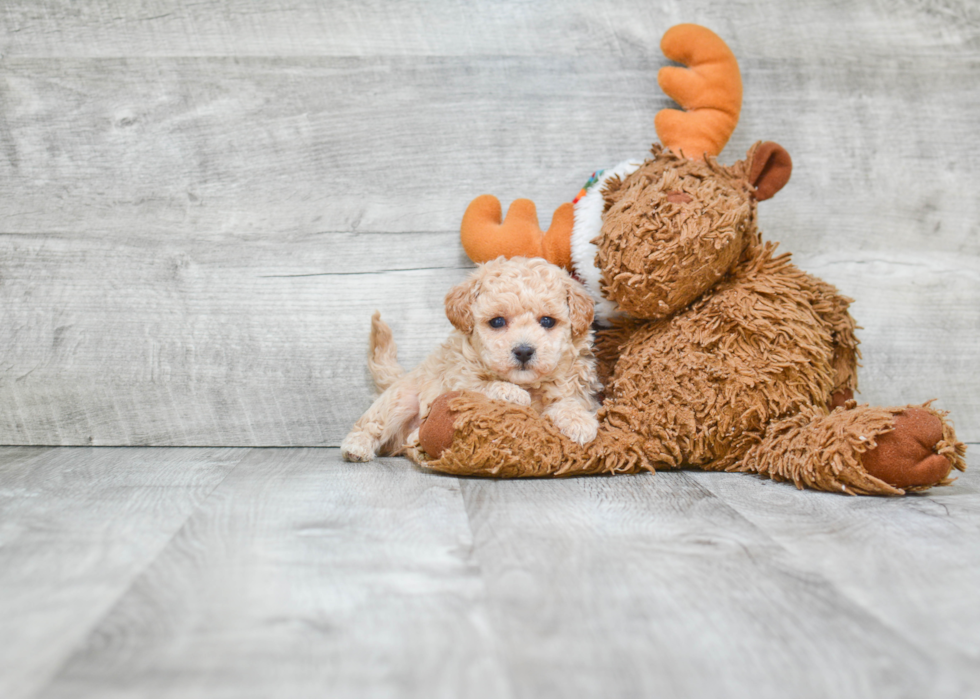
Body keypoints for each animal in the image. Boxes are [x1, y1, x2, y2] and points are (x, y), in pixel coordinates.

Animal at [344, 254, 604, 462]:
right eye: (497, 321)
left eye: (548, 321)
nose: (523, 351)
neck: (529, 384)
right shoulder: (459, 379)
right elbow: (483, 386)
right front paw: (511, 393)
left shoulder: (575, 387)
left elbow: (569, 401)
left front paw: (579, 421)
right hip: (400, 400)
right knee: (372, 424)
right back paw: (356, 446)